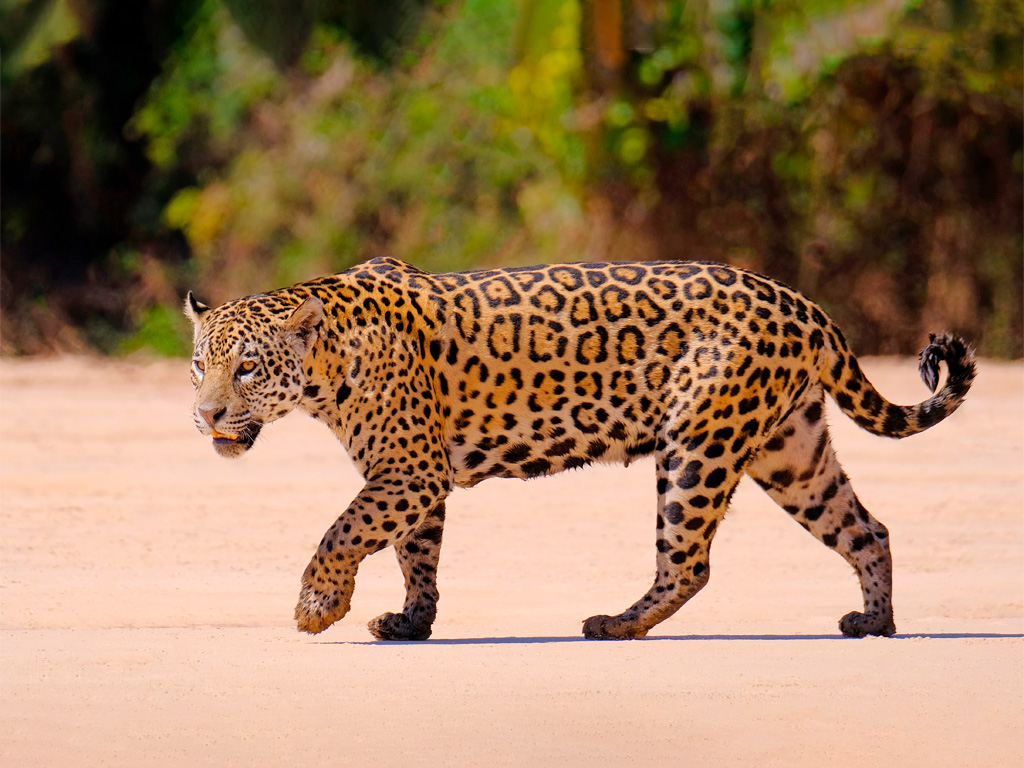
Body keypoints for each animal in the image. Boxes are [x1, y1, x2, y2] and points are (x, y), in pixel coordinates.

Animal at [185, 256, 975, 641]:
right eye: (200, 365)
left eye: (247, 368)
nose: (206, 414)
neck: (326, 366)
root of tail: (802, 303)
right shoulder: (415, 476)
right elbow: (416, 554)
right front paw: (413, 623)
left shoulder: (408, 470)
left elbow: (343, 530)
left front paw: (318, 605)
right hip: (791, 449)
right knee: (867, 528)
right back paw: (875, 623)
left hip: (698, 444)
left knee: (688, 563)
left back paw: (617, 625)